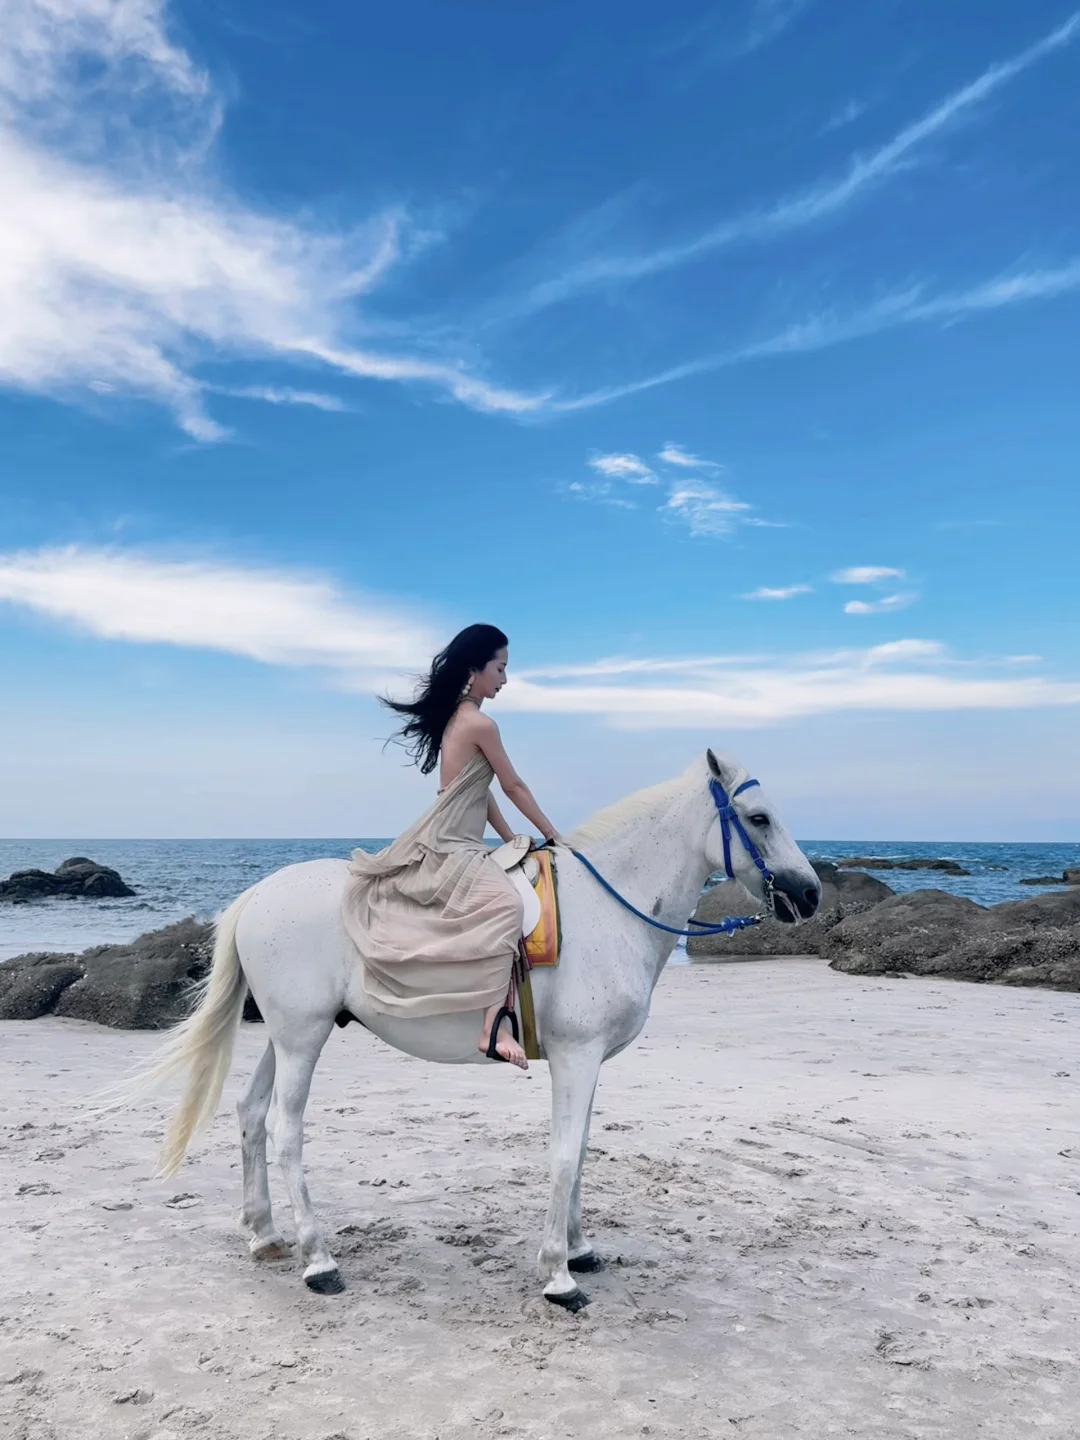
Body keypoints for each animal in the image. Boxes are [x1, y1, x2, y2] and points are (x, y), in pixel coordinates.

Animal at [135, 748, 817, 1313]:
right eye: (758, 818)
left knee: (251, 1115)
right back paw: (318, 1260)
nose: (810, 895)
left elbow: (582, 1150)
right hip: (303, 1039)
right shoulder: (576, 1057)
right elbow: (564, 1155)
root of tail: (255, 895)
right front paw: (558, 1276)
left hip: (286, 1036)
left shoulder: (589, 1062)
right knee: (285, 1131)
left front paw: (579, 1250)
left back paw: (265, 1235)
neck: (609, 907)